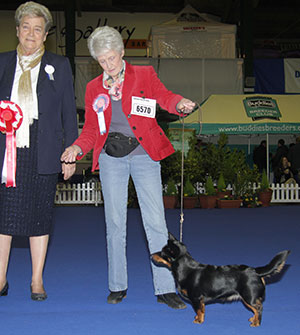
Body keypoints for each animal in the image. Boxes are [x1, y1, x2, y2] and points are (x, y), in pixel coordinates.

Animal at [152, 234, 290, 328]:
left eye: (162, 253)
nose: (151, 255)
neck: (186, 269)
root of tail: (256, 271)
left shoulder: (196, 298)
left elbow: (199, 310)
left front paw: (199, 321)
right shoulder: (200, 300)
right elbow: (201, 310)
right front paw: (198, 318)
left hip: (249, 297)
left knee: (259, 308)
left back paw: (256, 323)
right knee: (256, 309)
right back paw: (253, 319)